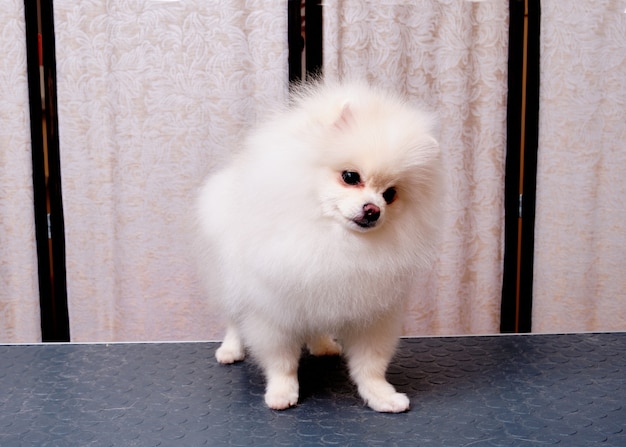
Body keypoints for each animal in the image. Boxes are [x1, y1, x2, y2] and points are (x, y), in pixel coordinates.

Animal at [194, 79, 438, 412]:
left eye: (390, 194)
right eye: (351, 176)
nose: (373, 210)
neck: (333, 239)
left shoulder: (372, 314)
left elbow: (370, 365)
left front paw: (381, 395)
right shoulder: (272, 308)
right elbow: (281, 360)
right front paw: (282, 392)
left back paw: (322, 344)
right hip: (229, 277)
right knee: (233, 318)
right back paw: (231, 349)